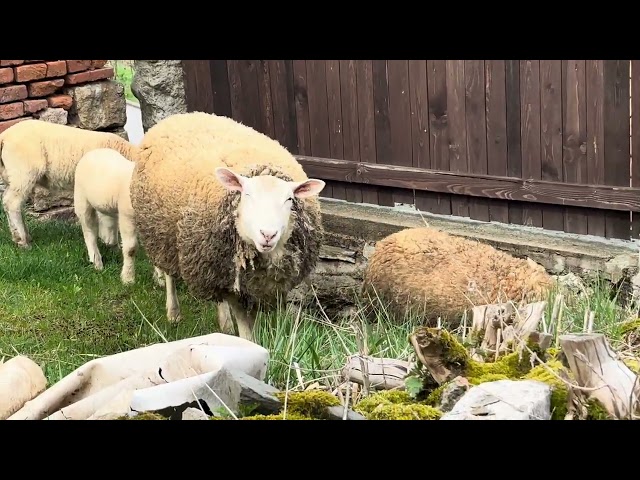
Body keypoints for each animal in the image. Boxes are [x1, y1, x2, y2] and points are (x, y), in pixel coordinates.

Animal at [0, 119, 140, 249]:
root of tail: (4, 136)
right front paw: (112, 243)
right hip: (23, 171)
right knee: (12, 203)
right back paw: (23, 241)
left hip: (9, 174)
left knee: (7, 201)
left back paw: (20, 236)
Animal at [74, 147, 165, 286]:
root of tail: (95, 151)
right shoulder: (127, 215)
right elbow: (131, 249)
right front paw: (128, 279)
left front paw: (160, 280)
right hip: (82, 201)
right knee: (89, 232)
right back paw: (96, 261)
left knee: (108, 222)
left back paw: (111, 244)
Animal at [129, 111, 326, 340]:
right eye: (247, 194)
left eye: (289, 199)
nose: (268, 234)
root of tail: (181, 115)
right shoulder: (234, 285)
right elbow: (244, 325)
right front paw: (248, 342)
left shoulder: (255, 285)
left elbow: (252, 320)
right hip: (162, 235)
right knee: (169, 274)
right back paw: (173, 312)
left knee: (218, 298)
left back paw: (225, 324)